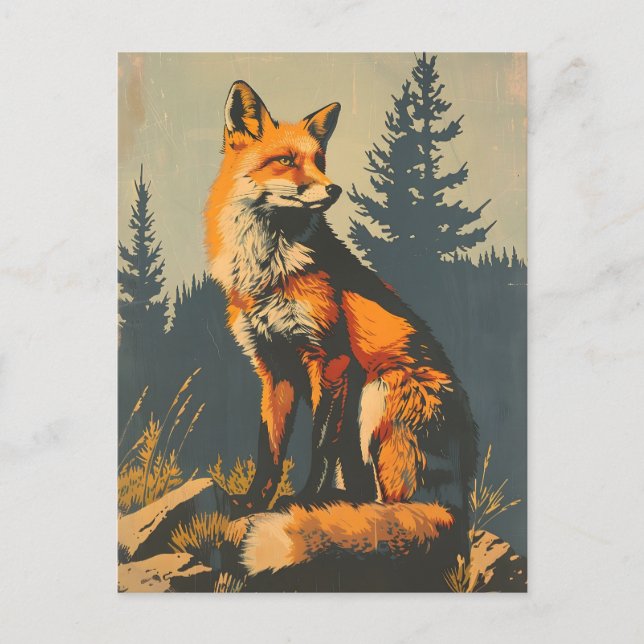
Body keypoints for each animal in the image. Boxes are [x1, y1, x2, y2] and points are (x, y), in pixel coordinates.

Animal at [204, 81, 478, 574]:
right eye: (286, 160)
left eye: (320, 161)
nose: (333, 189)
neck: (269, 269)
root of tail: (458, 503)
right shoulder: (274, 368)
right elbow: (269, 451)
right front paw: (253, 503)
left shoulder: (330, 359)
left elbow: (320, 444)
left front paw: (303, 502)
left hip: (378, 393)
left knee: (393, 510)